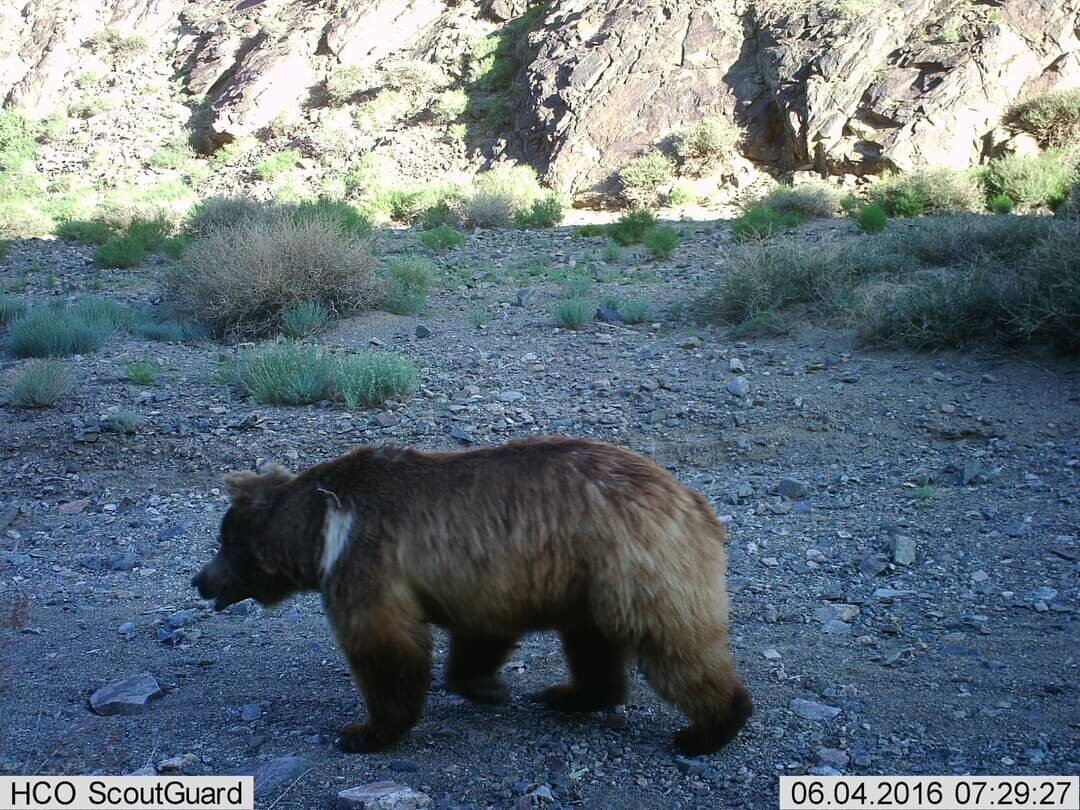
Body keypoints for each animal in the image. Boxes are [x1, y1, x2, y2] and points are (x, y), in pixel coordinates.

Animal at [192, 436, 752, 756]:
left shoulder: (368, 557)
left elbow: (384, 648)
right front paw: (485, 685)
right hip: (589, 579)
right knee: (592, 642)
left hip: (635, 563)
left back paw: (709, 729)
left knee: (673, 643)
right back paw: (572, 695)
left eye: (224, 543)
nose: (199, 581)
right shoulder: (483, 578)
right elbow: (480, 634)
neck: (322, 530)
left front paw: (364, 731)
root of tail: (692, 500)